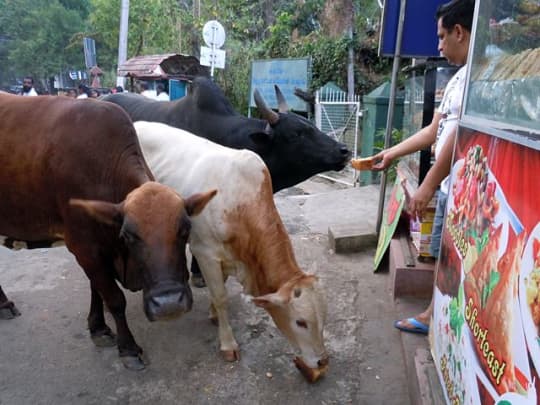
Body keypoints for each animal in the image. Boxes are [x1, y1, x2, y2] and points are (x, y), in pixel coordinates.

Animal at [0, 94, 215, 370]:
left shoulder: (97, 251)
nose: (168, 305)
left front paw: (98, 328)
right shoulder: (84, 248)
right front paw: (128, 348)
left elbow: (97, 290)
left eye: (185, 229)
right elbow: (113, 298)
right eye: (128, 235)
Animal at [135, 121, 330, 380]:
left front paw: (213, 314)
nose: (322, 361)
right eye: (300, 322)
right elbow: (220, 296)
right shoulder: (204, 252)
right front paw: (227, 343)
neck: (239, 203)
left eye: (323, 317)